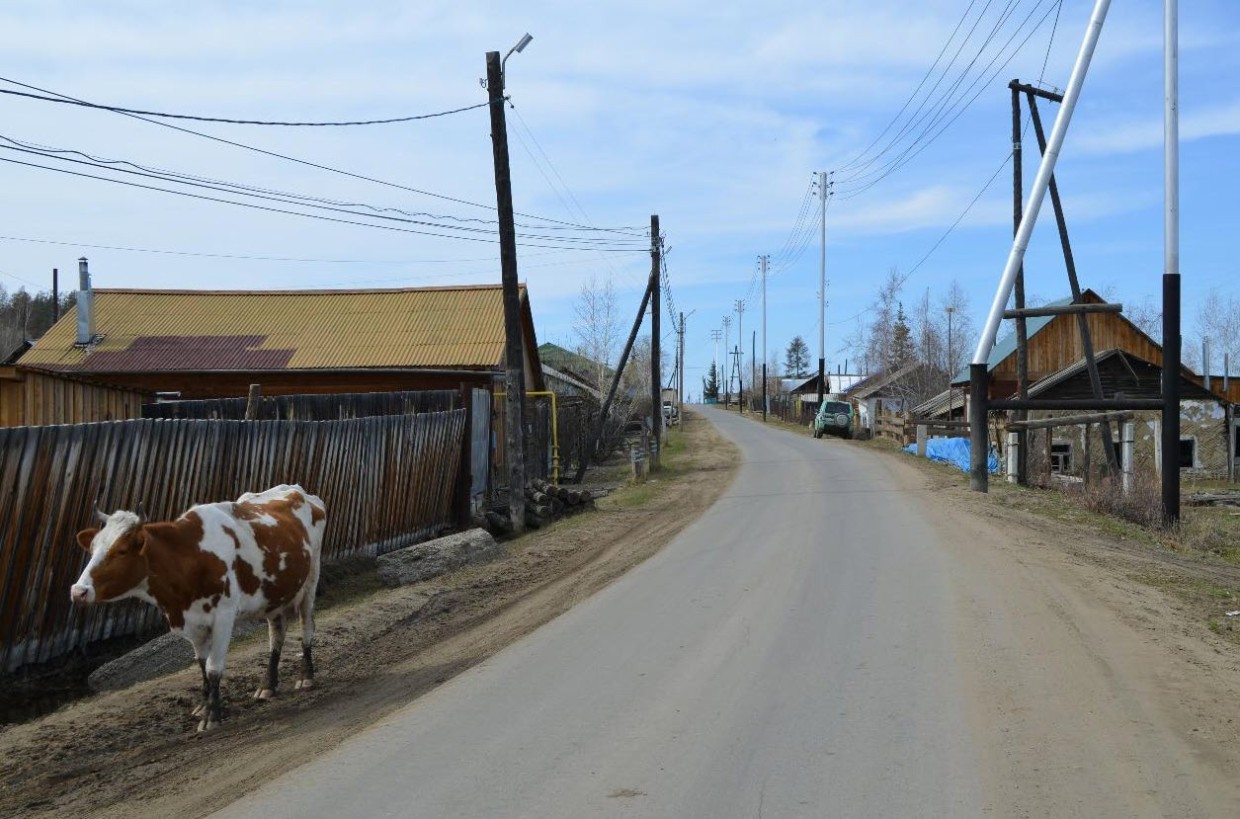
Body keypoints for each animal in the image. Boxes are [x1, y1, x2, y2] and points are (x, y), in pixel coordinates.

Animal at [70, 483, 327, 734]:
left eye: (122, 550)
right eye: (93, 548)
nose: (78, 591)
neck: (189, 556)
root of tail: (298, 490)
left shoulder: (224, 616)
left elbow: (213, 668)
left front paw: (212, 717)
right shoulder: (193, 622)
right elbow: (202, 665)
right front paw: (204, 706)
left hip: (310, 581)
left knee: (307, 627)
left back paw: (306, 676)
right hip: (275, 595)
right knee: (276, 635)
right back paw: (268, 686)